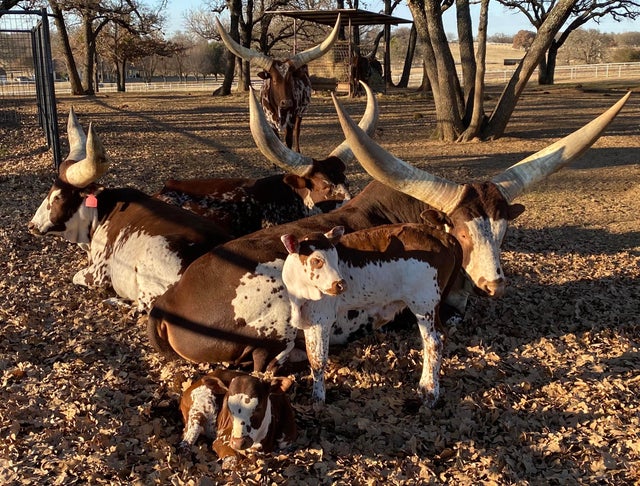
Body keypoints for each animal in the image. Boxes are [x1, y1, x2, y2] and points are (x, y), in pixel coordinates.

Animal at [28, 108, 232, 312]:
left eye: (58, 197)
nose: (32, 225)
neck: (101, 213)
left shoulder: (97, 274)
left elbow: (76, 276)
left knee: (146, 304)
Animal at [215, 14, 342, 152]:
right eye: (274, 80)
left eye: (291, 79)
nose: (287, 103)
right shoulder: (270, 123)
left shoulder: (291, 120)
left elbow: (289, 140)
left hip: (301, 113)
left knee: (297, 131)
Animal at [280, 222, 460, 404]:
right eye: (316, 260)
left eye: (336, 258)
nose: (341, 284)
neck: (301, 293)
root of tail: (441, 236)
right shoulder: (309, 320)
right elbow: (311, 356)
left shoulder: (322, 318)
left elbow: (318, 360)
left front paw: (318, 396)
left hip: (424, 302)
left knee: (434, 342)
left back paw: (429, 390)